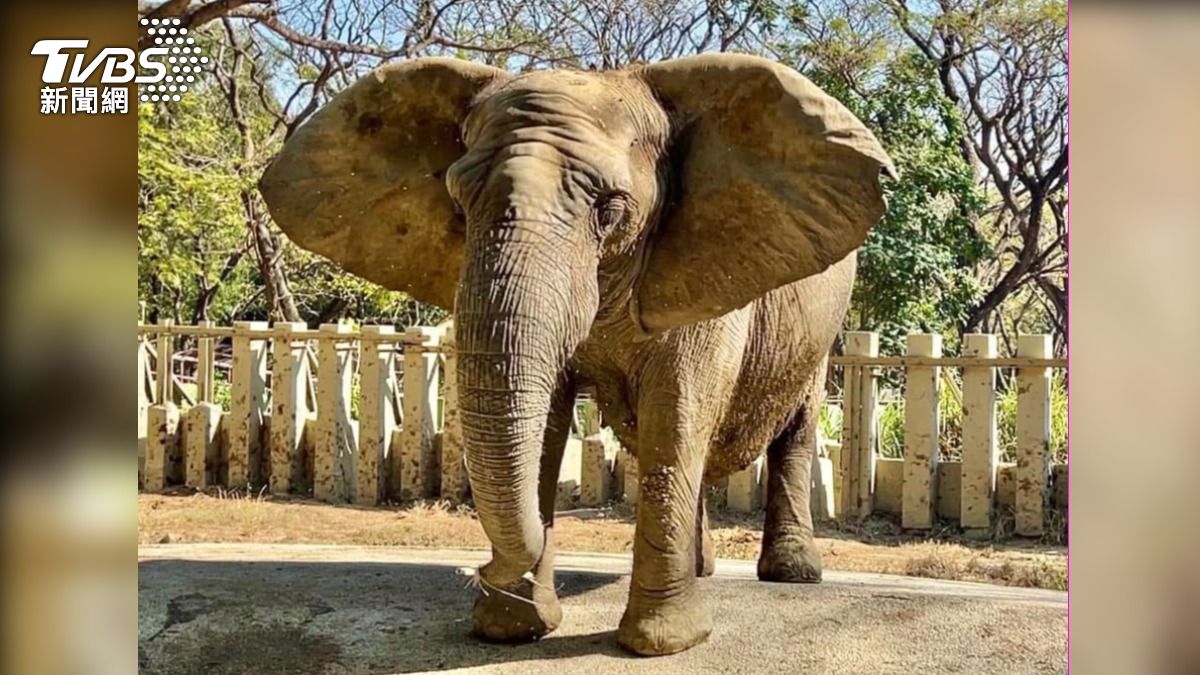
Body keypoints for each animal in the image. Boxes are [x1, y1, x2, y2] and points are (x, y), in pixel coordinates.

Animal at [259, 53, 894, 656]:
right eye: (458, 205)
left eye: (610, 210)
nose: (477, 569)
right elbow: (546, 426)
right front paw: (512, 628)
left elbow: (676, 412)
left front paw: (659, 644)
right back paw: (703, 570)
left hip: (823, 327)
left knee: (793, 429)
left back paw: (792, 575)